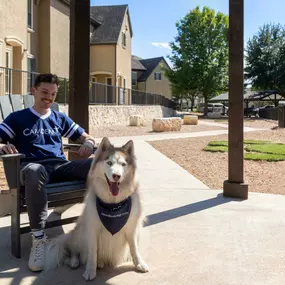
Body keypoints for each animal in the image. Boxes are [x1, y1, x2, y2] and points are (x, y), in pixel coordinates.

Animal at [43, 137, 149, 280]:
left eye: (123, 164)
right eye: (109, 163)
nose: (116, 176)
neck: (113, 204)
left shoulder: (131, 228)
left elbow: (134, 248)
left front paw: (139, 264)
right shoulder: (93, 229)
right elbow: (92, 252)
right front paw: (90, 270)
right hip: (81, 234)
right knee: (72, 250)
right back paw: (74, 261)